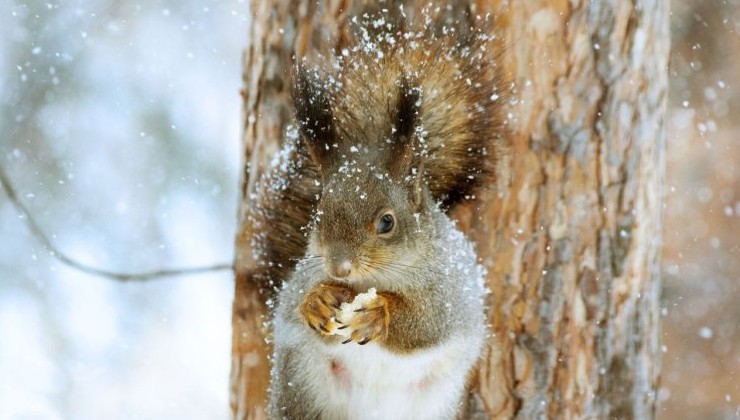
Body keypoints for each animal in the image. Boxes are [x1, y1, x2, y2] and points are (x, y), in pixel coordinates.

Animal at [264, 13, 512, 420]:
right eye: (318, 215)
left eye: (387, 222)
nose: (339, 268)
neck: (374, 279)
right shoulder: (303, 275)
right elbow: (293, 302)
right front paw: (316, 301)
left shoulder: (451, 292)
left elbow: (427, 324)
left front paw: (378, 314)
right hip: (301, 386)